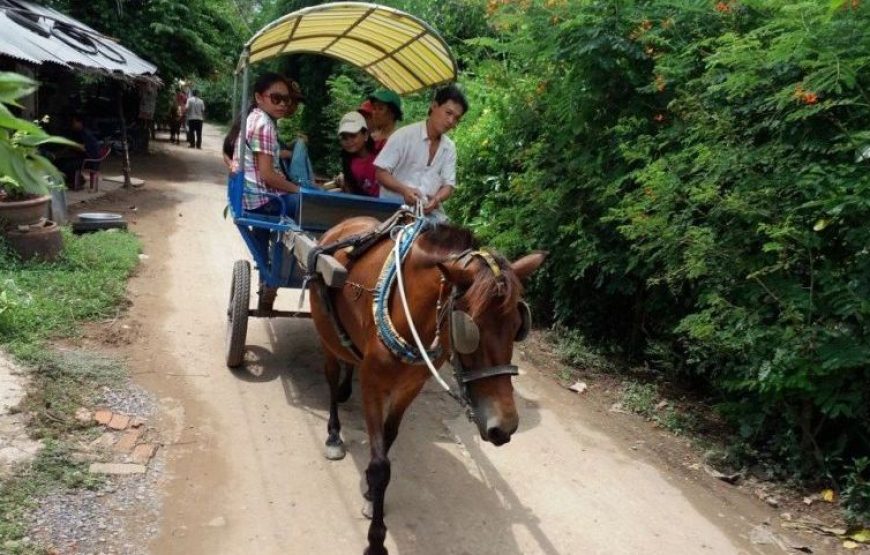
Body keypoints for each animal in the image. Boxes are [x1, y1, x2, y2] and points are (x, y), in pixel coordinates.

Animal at [310, 216, 548, 555]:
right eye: (469, 330)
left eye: (519, 327)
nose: (505, 427)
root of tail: (345, 224)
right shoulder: (373, 385)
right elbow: (381, 465)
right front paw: (376, 540)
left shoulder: (411, 386)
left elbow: (389, 438)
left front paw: (370, 494)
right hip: (326, 332)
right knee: (330, 376)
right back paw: (333, 433)